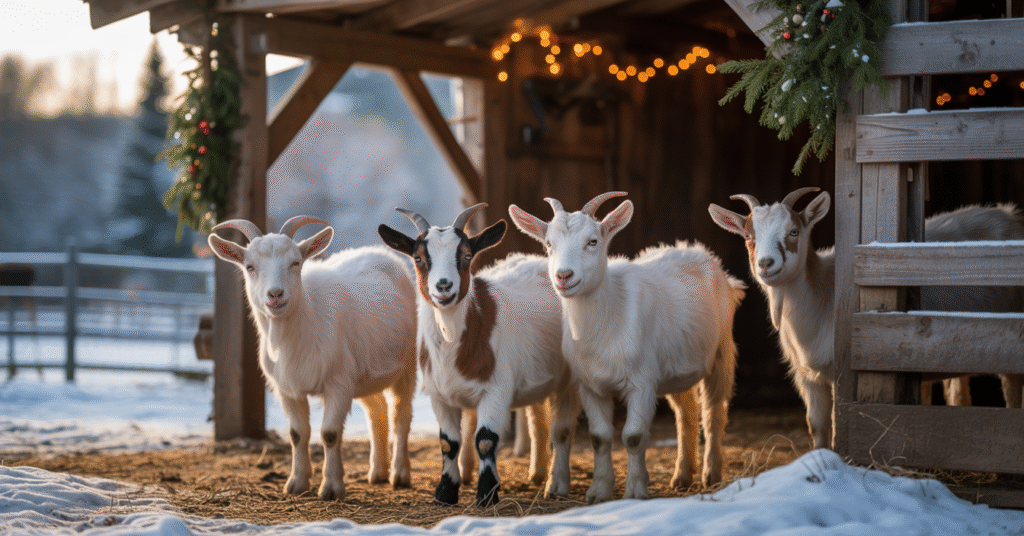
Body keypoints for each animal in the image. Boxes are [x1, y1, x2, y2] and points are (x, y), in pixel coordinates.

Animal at [208, 216, 417, 501]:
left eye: (295, 262)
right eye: (250, 267)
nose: (275, 294)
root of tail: (384, 254)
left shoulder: (339, 384)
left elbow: (329, 433)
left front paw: (331, 487)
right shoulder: (287, 389)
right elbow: (297, 433)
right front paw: (297, 483)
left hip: (408, 364)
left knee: (401, 416)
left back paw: (400, 475)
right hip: (365, 375)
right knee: (378, 412)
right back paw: (378, 472)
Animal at [378, 203, 579, 507]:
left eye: (466, 256)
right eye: (418, 258)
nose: (444, 286)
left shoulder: (496, 390)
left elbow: (484, 440)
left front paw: (487, 493)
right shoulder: (439, 394)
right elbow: (448, 442)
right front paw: (445, 493)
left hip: (568, 378)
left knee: (562, 429)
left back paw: (557, 484)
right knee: (537, 420)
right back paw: (537, 474)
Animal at [509, 192, 745, 504]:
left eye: (593, 241)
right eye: (548, 244)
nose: (564, 276)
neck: (611, 314)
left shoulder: (642, 383)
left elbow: (633, 436)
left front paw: (635, 491)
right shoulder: (591, 386)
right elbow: (600, 437)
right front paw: (598, 491)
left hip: (721, 351)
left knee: (714, 411)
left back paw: (712, 473)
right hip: (676, 368)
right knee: (687, 413)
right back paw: (682, 476)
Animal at [708, 188, 1024, 449]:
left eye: (794, 231)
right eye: (748, 236)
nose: (765, 264)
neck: (822, 295)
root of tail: (1011, 216)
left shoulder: (844, 373)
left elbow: (839, 423)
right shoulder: (806, 374)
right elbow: (817, 425)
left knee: (1012, 391)